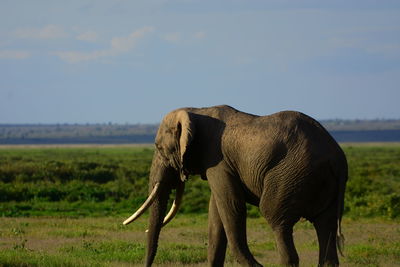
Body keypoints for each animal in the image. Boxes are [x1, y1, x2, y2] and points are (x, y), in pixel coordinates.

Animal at [123, 105, 348, 267]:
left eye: (158, 148)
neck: (197, 111)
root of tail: (338, 158)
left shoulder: (218, 160)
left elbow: (231, 206)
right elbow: (216, 214)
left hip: (291, 174)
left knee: (276, 219)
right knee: (325, 227)